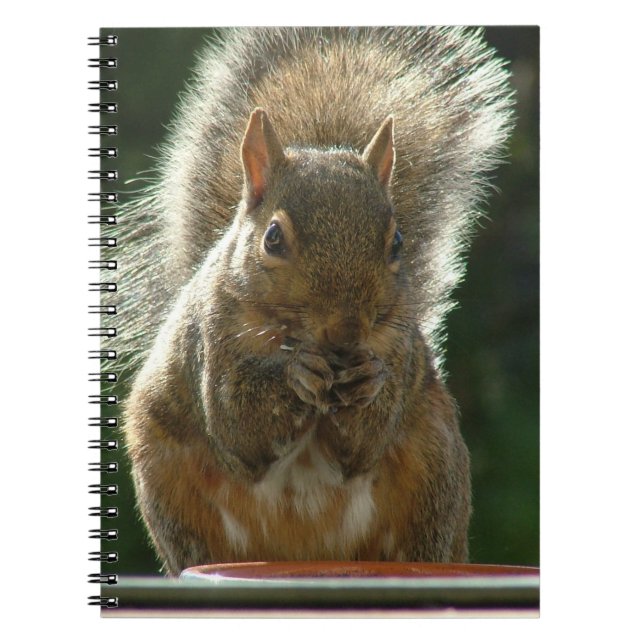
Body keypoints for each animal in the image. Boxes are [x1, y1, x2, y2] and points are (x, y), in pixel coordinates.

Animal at [117, 27, 514, 576]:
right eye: (273, 238)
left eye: (397, 243)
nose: (347, 332)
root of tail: (303, 554)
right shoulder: (210, 342)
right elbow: (238, 427)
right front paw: (295, 374)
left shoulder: (398, 347)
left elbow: (362, 445)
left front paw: (368, 378)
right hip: (170, 485)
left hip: (433, 475)